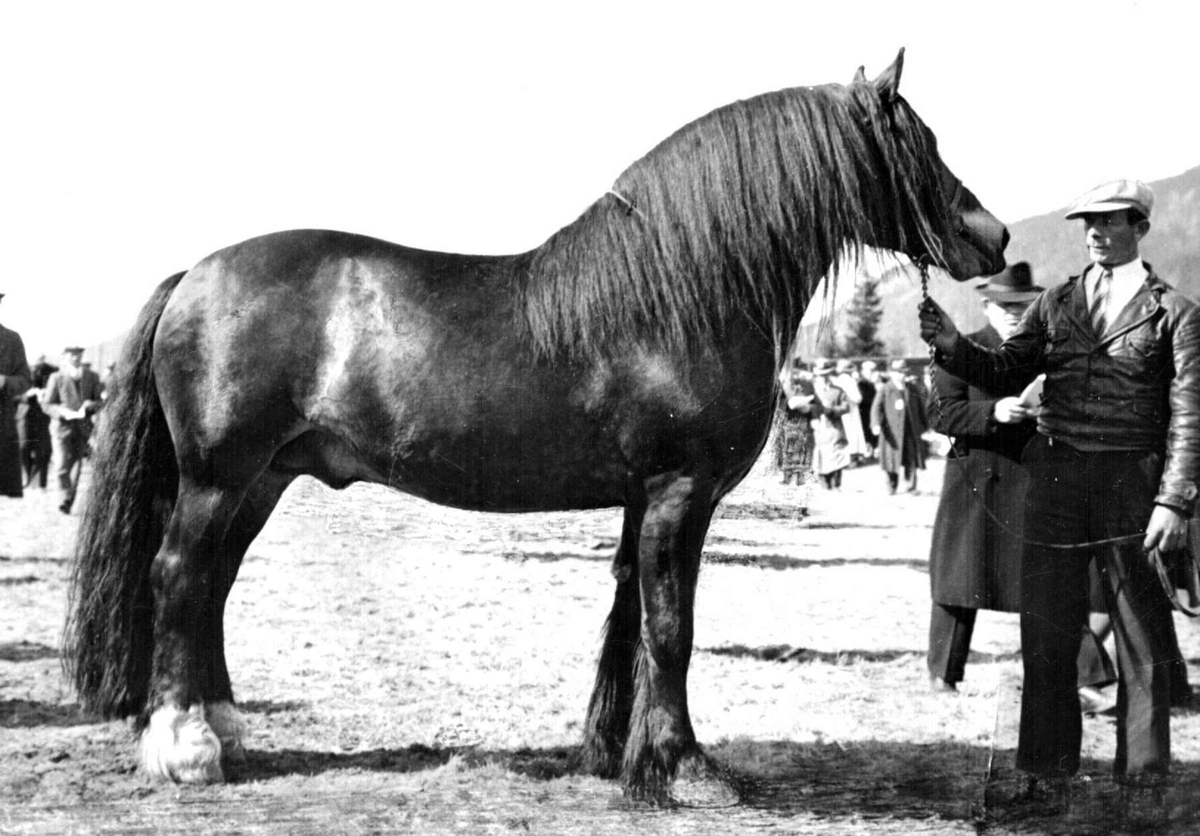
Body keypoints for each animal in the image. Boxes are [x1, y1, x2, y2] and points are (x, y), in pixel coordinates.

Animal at [65, 53, 1003, 801]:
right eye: (920, 144)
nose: (990, 236)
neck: (680, 298)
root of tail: (197, 273)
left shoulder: (643, 498)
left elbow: (631, 616)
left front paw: (615, 755)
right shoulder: (681, 492)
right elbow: (672, 626)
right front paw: (686, 767)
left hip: (261, 480)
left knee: (213, 583)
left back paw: (224, 727)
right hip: (219, 477)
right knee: (179, 576)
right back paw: (186, 748)